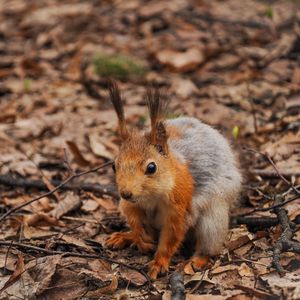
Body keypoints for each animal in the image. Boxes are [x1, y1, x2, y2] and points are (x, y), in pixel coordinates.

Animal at [105, 81, 241, 278]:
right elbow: (132, 216)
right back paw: (126, 236)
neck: (150, 196)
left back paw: (196, 260)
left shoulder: (179, 206)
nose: (126, 193)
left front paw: (159, 262)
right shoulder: (130, 204)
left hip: (213, 219)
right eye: (114, 166)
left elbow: (171, 236)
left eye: (151, 168)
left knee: (209, 244)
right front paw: (138, 237)